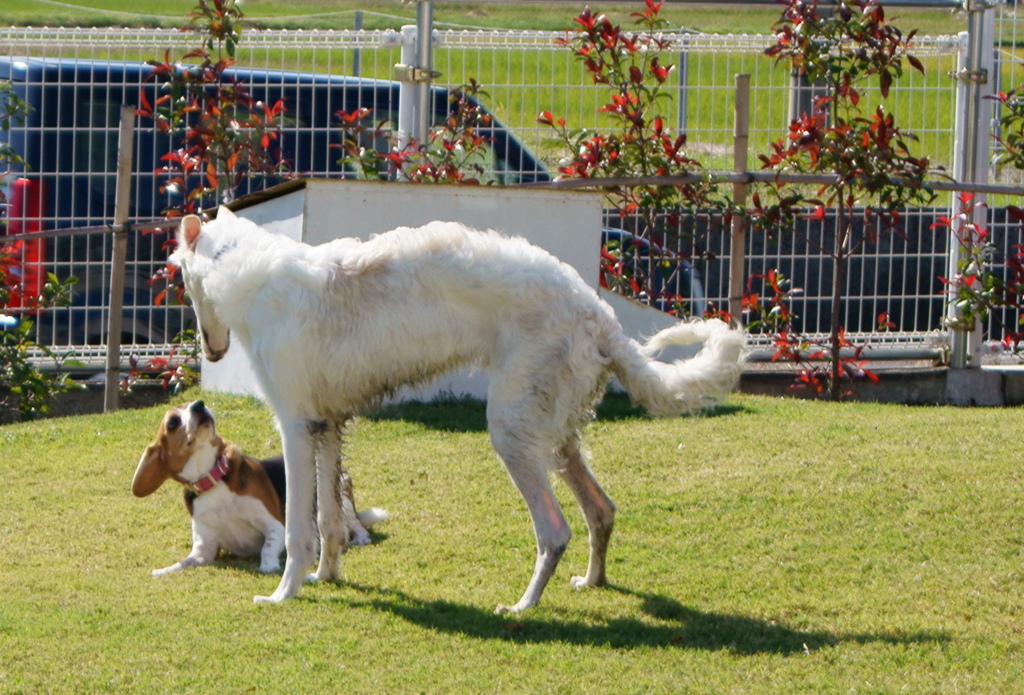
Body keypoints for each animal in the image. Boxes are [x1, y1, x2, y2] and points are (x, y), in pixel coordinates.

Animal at [169, 207, 745, 614]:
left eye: (182, 282)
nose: (212, 354)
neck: (248, 267)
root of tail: (600, 313)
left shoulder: (294, 424)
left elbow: (297, 528)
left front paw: (285, 593)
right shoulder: (327, 423)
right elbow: (331, 522)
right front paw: (324, 577)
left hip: (512, 429)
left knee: (555, 530)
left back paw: (523, 605)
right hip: (555, 433)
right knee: (601, 510)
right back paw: (592, 580)